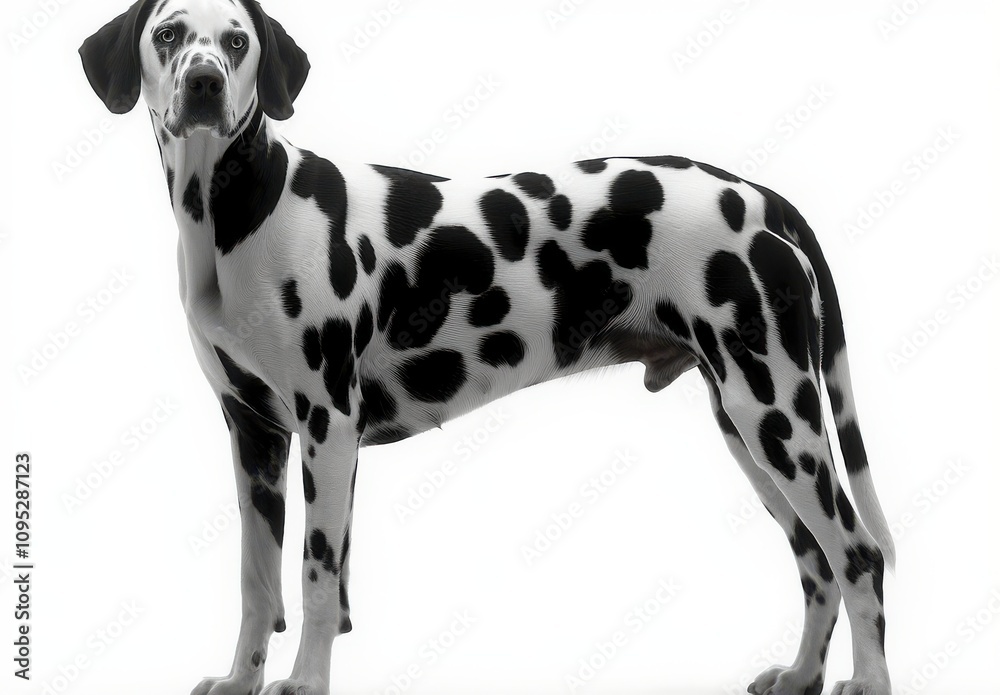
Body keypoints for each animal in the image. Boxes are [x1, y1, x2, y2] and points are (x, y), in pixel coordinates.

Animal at [82, 1, 900, 695]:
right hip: (750, 431)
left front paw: (306, 683)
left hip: (779, 420)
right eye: (169, 35)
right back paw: (802, 675)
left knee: (857, 556)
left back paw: (867, 680)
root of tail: (760, 196)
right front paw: (241, 680)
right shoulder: (254, 436)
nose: (203, 82)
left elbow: (315, 579)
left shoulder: (327, 429)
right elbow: (258, 585)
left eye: (236, 41)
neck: (243, 214)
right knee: (816, 562)